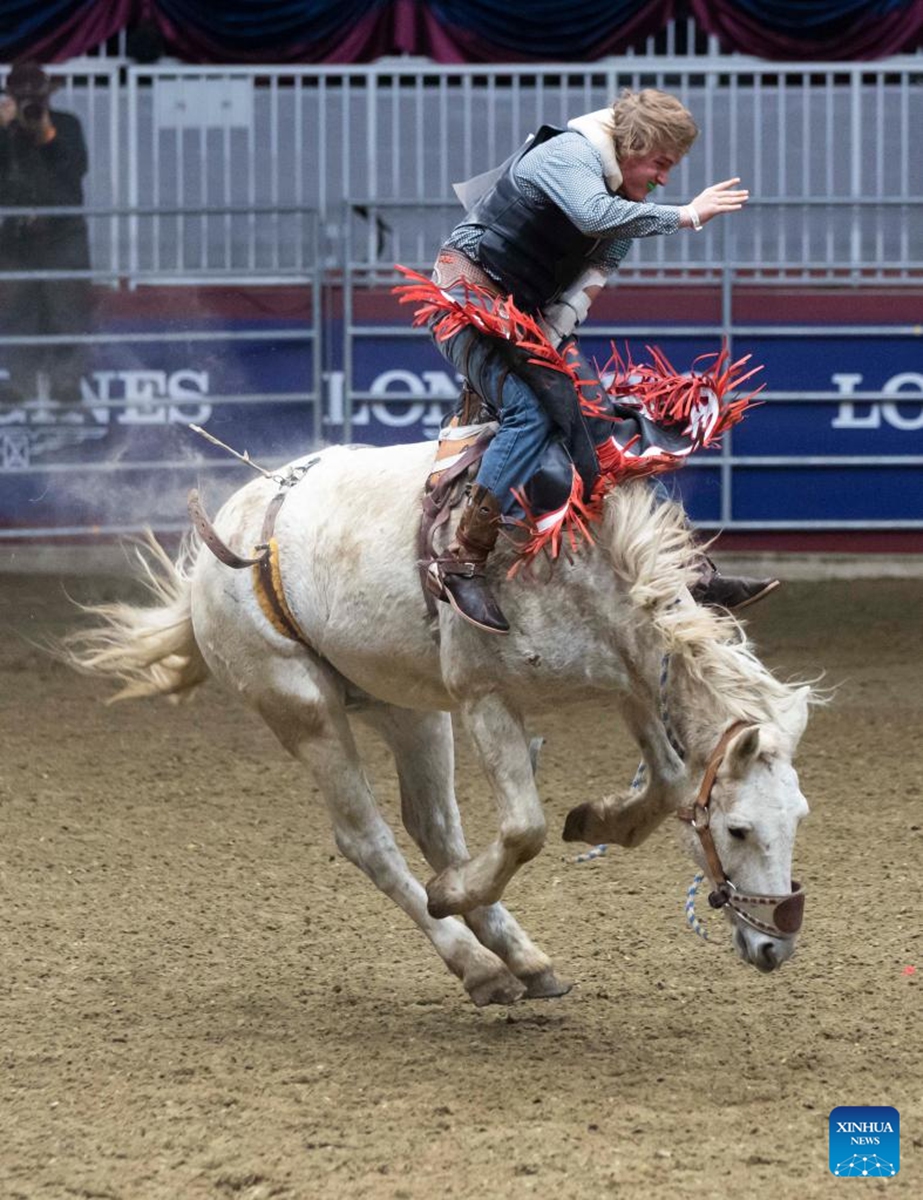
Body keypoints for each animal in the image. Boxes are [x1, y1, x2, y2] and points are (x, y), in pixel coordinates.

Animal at [64, 441, 816, 1003]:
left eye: (799, 817)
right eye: (737, 829)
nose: (774, 945)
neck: (572, 565)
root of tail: (215, 550)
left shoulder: (631, 683)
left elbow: (664, 783)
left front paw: (599, 821)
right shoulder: (485, 698)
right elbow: (524, 828)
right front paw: (456, 895)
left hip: (408, 710)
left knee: (433, 826)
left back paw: (523, 960)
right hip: (302, 708)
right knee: (369, 841)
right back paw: (475, 959)